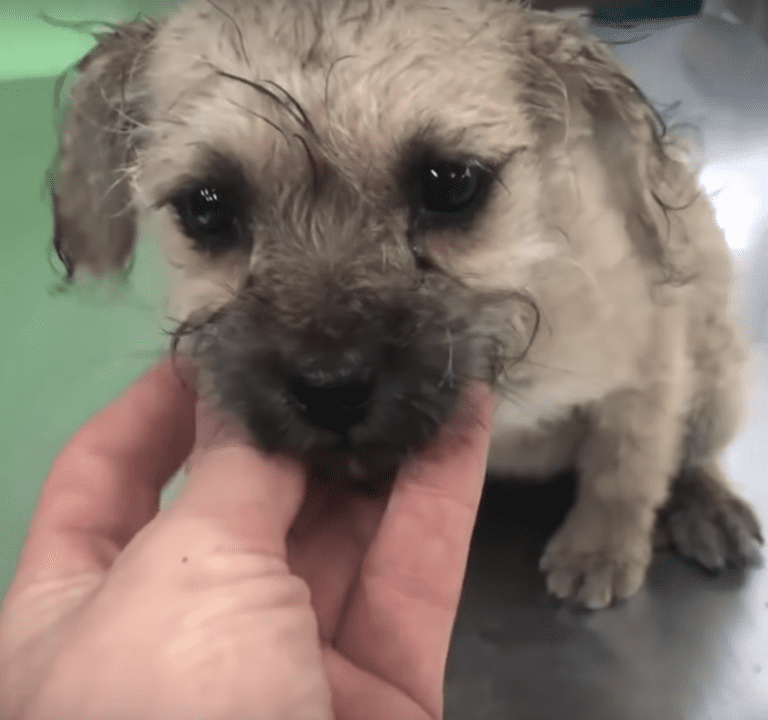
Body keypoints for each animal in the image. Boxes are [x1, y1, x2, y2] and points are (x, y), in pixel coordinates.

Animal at [50, 0, 763, 609]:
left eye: (452, 184)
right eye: (205, 206)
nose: (330, 389)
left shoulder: (651, 361)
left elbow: (628, 465)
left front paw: (602, 548)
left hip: (718, 378)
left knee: (692, 450)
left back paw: (707, 504)